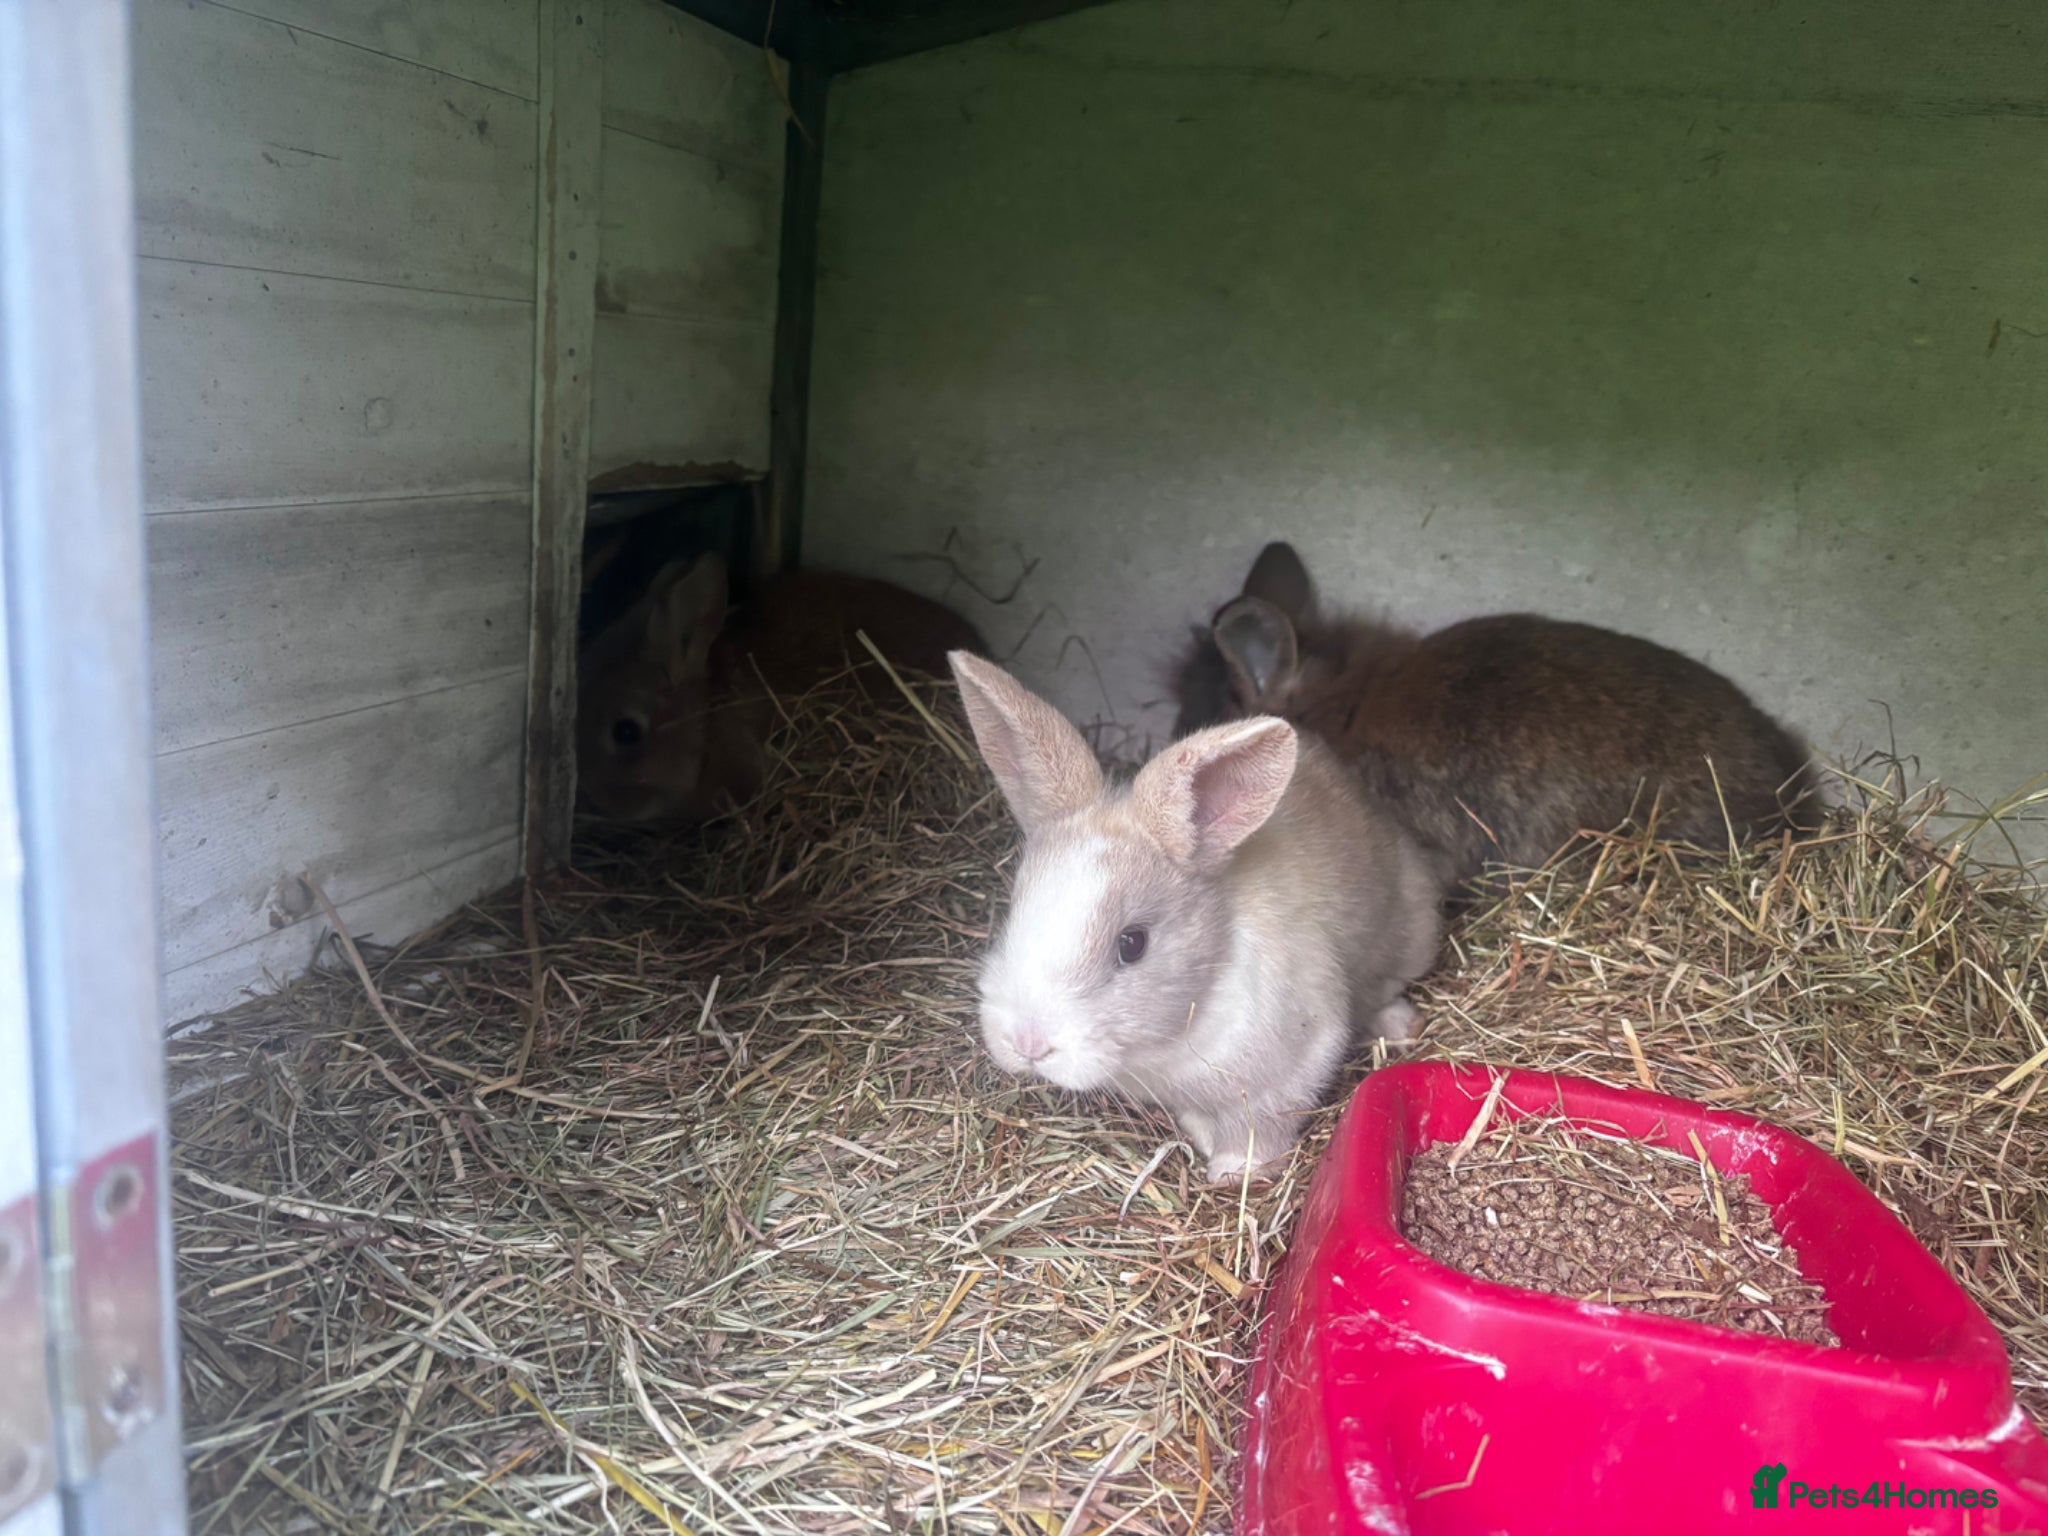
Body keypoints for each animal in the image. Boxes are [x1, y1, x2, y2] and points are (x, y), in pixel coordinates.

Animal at [949, 650, 1443, 1182]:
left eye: (1132, 944)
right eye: (1015, 909)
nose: (1027, 1043)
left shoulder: (1291, 1066)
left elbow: (1260, 1127)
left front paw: (1234, 1172)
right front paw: (1204, 1141)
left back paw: (1400, 1025)